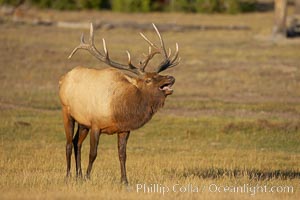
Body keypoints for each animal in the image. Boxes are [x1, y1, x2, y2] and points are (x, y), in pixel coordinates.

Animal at [59, 22, 179, 184]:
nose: (171, 77)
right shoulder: (96, 124)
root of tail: (63, 79)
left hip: (83, 122)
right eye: (148, 79)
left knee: (77, 142)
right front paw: (88, 177)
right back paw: (68, 176)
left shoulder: (124, 129)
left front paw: (124, 180)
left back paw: (78, 175)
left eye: (158, 74)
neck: (120, 110)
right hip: (67, 112)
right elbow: (93, 153)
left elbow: (122, 154)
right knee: (69, 144)